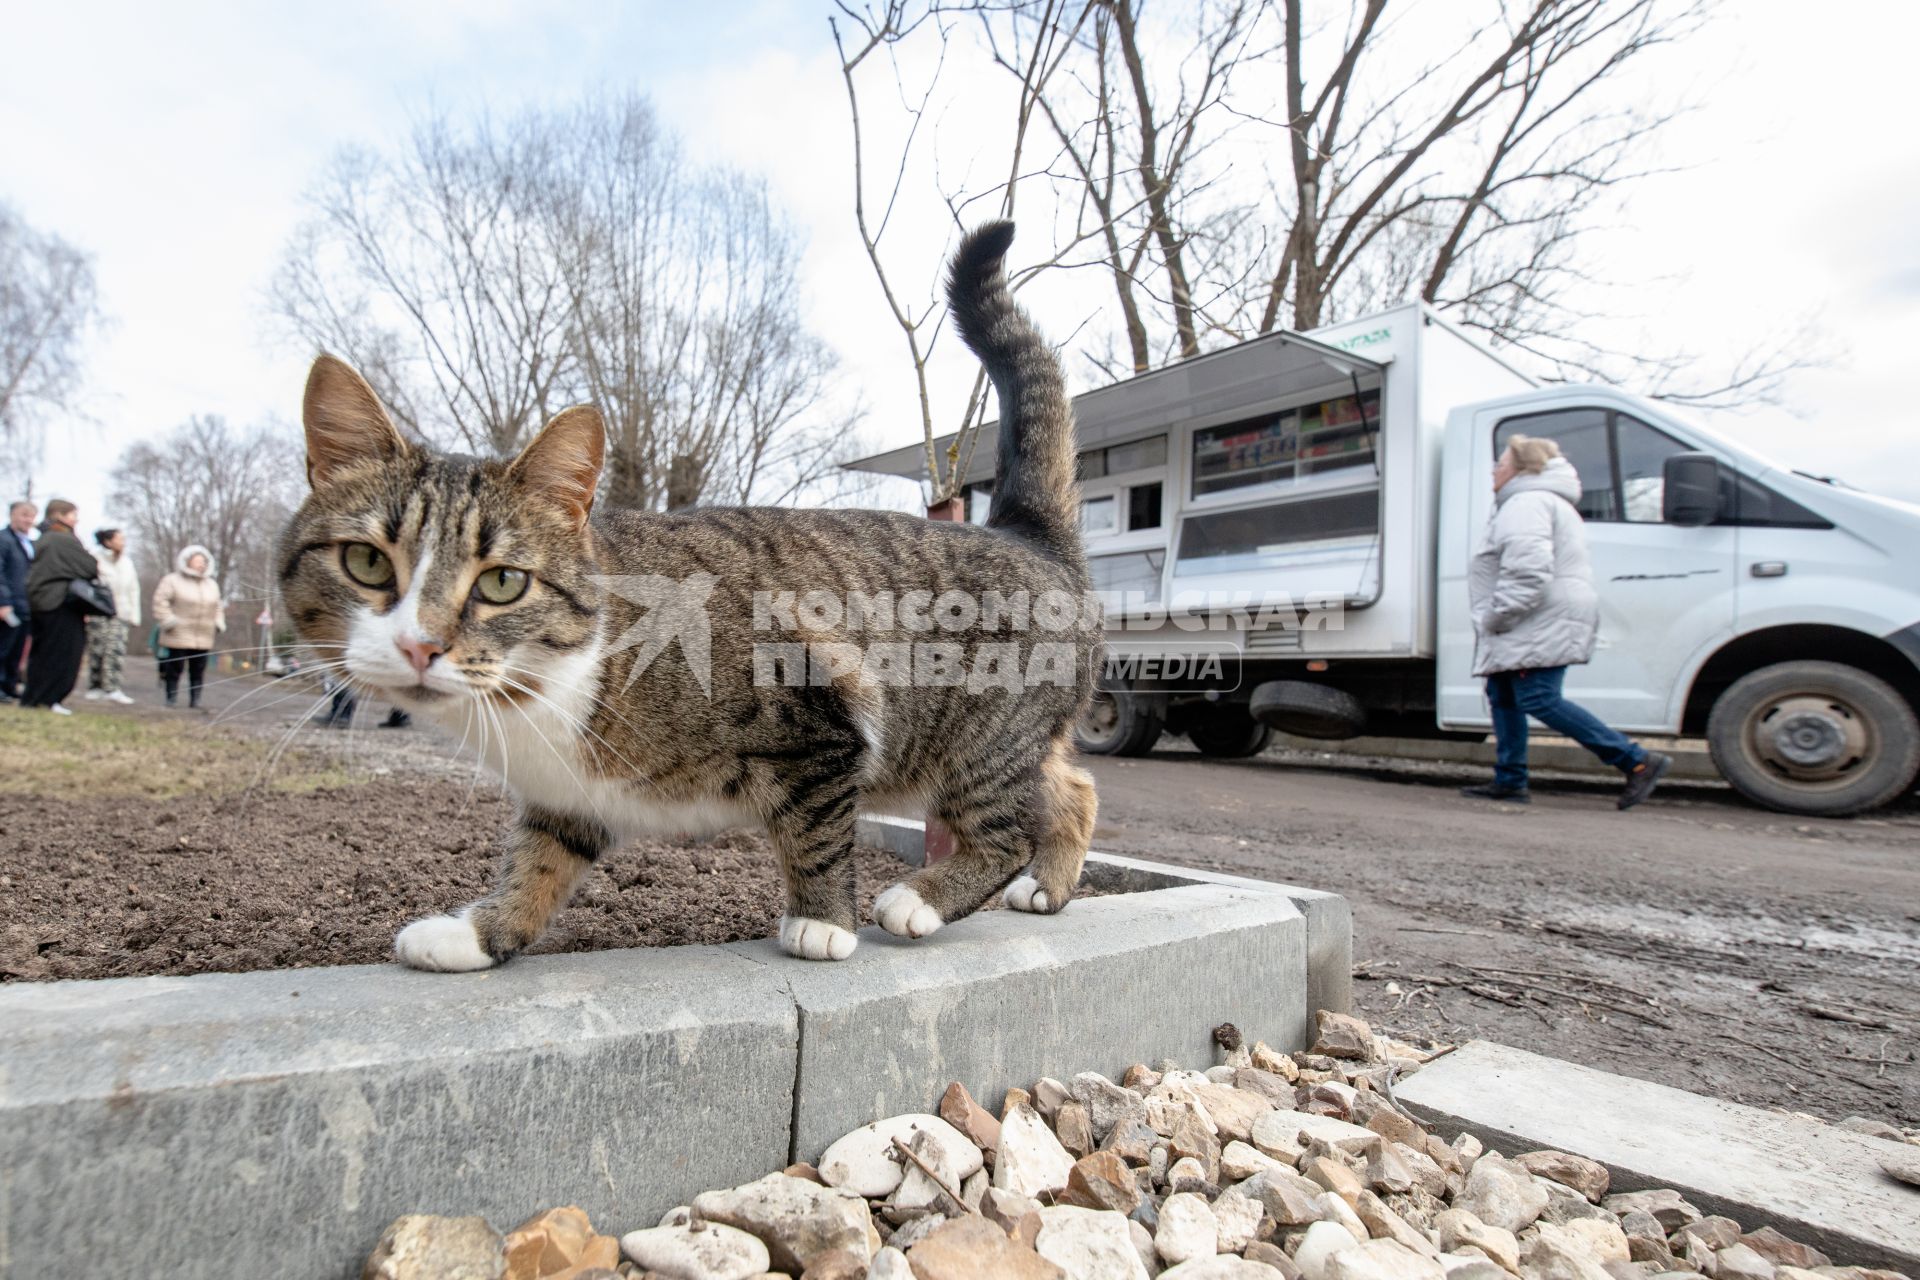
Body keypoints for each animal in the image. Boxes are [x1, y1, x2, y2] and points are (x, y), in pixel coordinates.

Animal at [278, 222, 1105, 971]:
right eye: (366, 563)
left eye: (502, 582)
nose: (420, 644)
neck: (549, 692)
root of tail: (1026, 533)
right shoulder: (570, 797)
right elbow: (537, 865)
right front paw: (480, 936)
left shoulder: (820, 714)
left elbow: (815, 833)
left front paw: (821, 923)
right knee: (1075, 783)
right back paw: (1051, 886)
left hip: (977, 738)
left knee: (1005, 830)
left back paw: (923, 898)